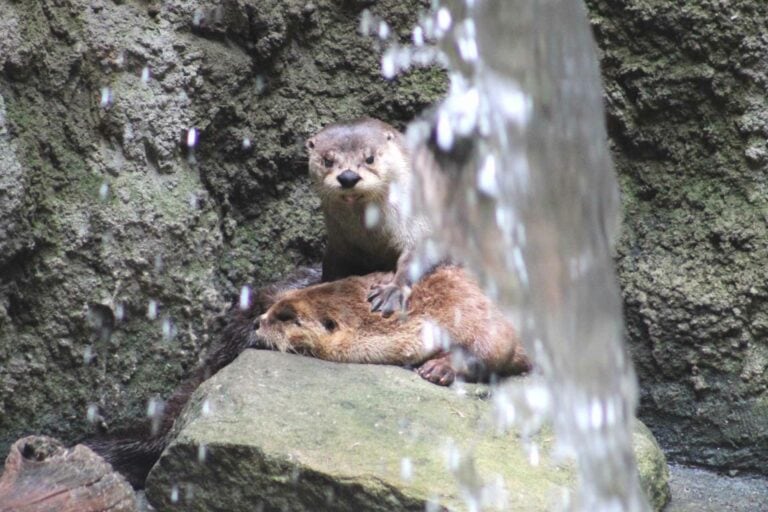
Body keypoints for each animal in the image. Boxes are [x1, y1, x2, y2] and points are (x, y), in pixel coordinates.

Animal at [254, 265, 531, 385]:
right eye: (275, 306)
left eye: (286, 317)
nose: (258, 322)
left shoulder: (463, 301)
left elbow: (496, 342)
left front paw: (437, 369)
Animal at [306, 118, 430, 316]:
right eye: (327, 160)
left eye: (369, 158)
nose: (348, 177)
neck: (371, 238)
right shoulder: (338, 244)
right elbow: (331, 269)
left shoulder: (419, 224)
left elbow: (414, 257)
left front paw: (392, 290)